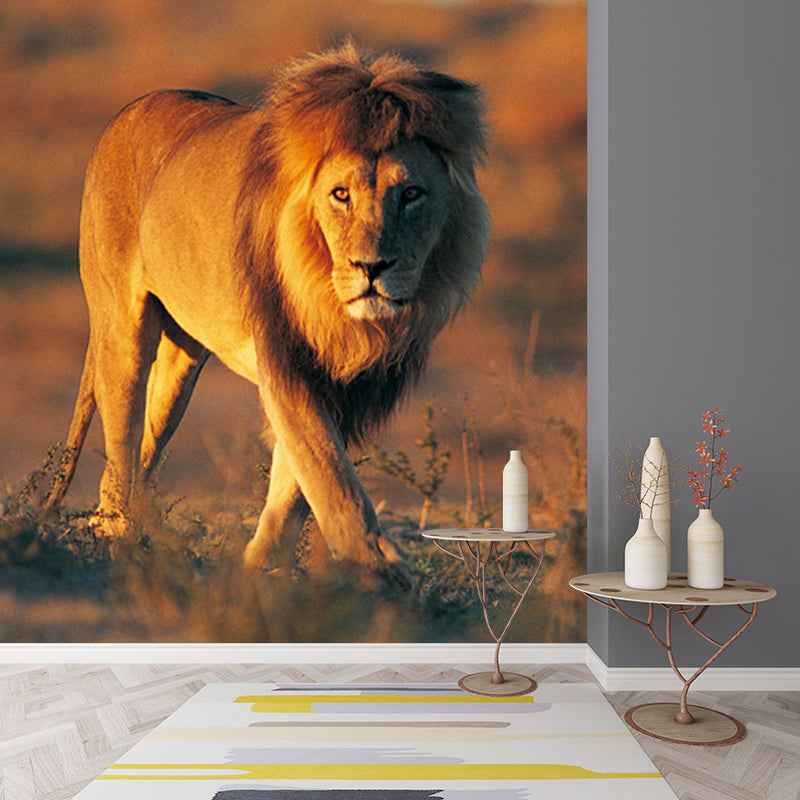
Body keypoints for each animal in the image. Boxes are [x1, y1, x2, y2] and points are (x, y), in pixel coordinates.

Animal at [45, 43, 489, 584]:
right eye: (341, 194)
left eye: (411, 194)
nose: (371, 267)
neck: (342, 311)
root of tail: (129, 109)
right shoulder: (285, 359)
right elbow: (328, 473)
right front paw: (379, 568)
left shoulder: (344, 382)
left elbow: (294, 482)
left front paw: (259, 565)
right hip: (121, 330)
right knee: (120, 448)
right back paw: (118, 536)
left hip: (182, 363)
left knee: (144, 449)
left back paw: (134, 531)